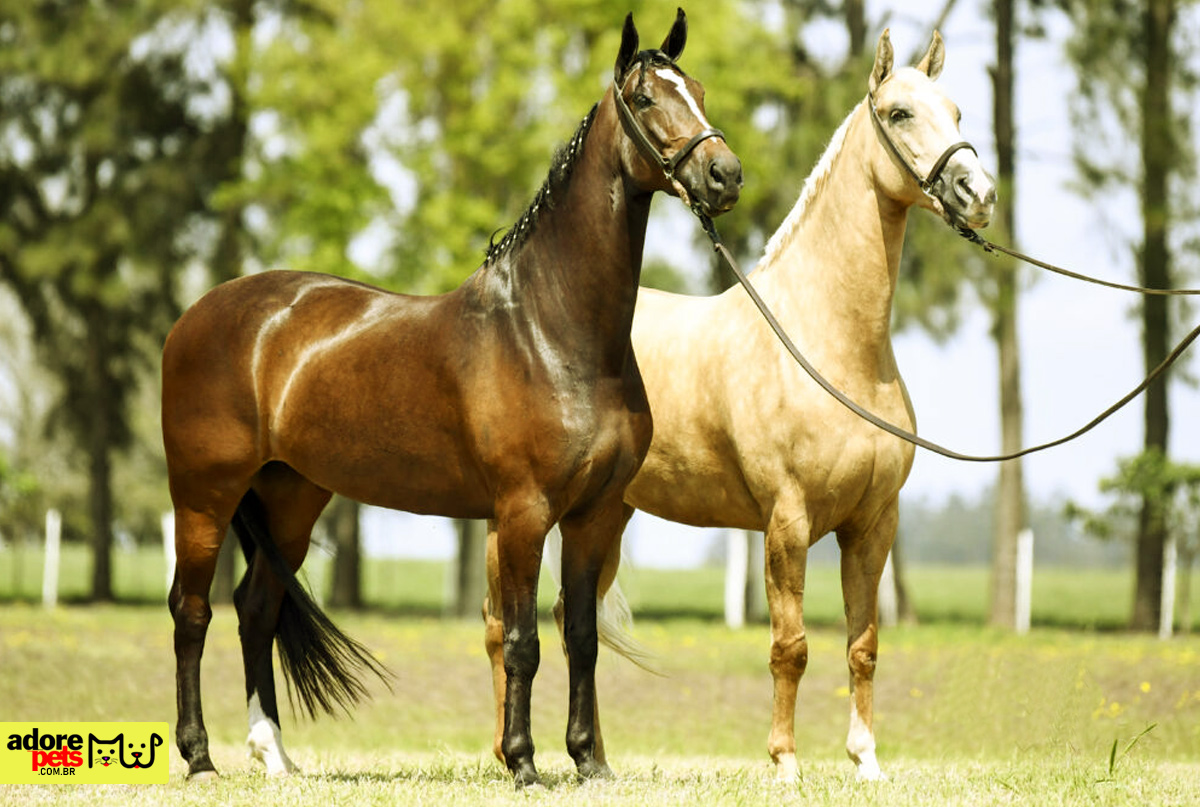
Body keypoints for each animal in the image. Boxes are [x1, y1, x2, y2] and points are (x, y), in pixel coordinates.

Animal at [163, 8, 741, 787]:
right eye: (647, 98)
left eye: (700, 91)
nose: (725, 174)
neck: (552, 330)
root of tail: (198, 314)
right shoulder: (524, 512)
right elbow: (523, 637)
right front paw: (524, 762)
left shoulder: (594, 516)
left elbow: (581, 634)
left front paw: (589, 761)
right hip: (205, 496)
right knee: (191, 611)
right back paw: (198, 757)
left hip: (291, 497)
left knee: (256, 607)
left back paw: (275, 755)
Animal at [486, 30, 995, 780]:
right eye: (900, 113)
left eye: (956, 111)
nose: (977, 193)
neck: (827, 343)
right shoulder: (786, 520)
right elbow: (792, 646)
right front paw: (785, 762)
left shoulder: (873, 523)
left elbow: (863, 644)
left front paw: (865, 761)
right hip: (517, 518)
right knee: (501, 625)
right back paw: (507, 754)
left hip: (605, 516)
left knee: (569, 619)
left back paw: (591, 757)